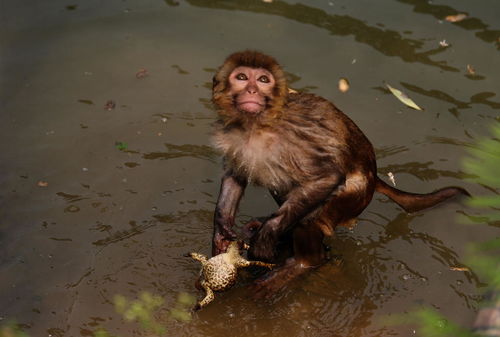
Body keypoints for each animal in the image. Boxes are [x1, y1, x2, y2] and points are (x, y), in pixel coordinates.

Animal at [209, 49, 470, 292]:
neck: (255, 125)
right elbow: (235, 175)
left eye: (263, 80)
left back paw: (304, 262)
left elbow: (327, 177)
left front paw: (267, 236)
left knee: (313, 210)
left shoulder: (292, 138)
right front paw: (221, 229)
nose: (252, 91)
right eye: (242, 77)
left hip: (354, 197)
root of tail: (374, 176)